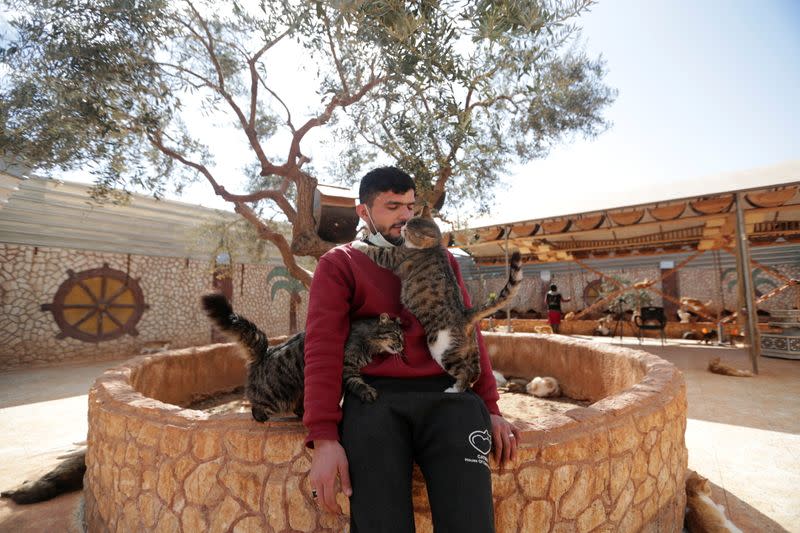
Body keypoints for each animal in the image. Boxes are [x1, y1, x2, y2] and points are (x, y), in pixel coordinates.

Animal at [354, 214, 520, 392]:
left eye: (410, 230)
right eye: (408, 222)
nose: (402, 227)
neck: (434, 246)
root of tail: (465, 314)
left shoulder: (393, 257)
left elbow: (376, 251)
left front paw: (358, 243)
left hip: (442, 349)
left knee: (465, 371)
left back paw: (455, 389)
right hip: (471, 348)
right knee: (476, 370)